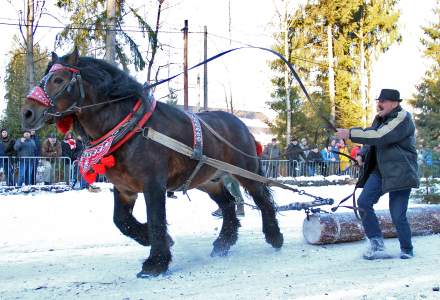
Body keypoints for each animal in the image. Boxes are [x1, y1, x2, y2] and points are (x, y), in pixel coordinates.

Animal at [20, 48, 284, 276]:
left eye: (58, 79)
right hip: (209, 179)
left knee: (262, 199)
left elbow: (157, 219)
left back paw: (274, 237)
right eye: (45, 77)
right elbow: (121, 221)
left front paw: (155, 263)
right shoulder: (124, 188)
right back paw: (223, 243)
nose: (27, 113)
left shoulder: (153, 185)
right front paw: (155, 240)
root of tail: (240, 123)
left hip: (246, 171)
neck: (130, 128)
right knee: (228, 204)